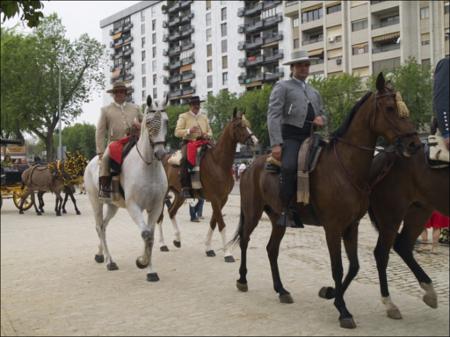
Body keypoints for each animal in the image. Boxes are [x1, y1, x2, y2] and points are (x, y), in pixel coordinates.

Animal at [83, 96, 168, 282]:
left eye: (166, 121)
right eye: (148, 122)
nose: (160, 153)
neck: (148, 167)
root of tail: (92, 161)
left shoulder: (156, 207)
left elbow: (150, 236)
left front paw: (150, 270)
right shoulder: (133, 206)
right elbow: (145, 234)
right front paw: (142, 262)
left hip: (112, 206)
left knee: (103, 227)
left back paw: (101, 255)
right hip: (96, 202)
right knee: (99, 226)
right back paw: (110, 261)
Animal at [158, 109, 258, 262]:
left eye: (248, 124)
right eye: (239, 125)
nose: (254, 141)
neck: (218, 163)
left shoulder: (222, 199)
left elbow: (213, 222)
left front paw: (208, 248)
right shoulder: (215, 199)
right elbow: (221, 224)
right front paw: (227, 253)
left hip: (180, 195)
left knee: (171, 212)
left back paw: (177, 240)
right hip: (163, 195)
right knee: (160, 217)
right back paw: (162, 244)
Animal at [229, 73, 422, 328]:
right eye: (390, 108)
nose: (415, 144)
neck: (345, 167)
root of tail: (251, 166)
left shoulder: (351, 225)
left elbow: (354, 265)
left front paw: (330, 294)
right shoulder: (333, 227)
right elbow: (337, 267)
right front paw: (343, 310)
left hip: (278, 218)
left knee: (272, 249)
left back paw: (281, 290)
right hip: (252, 212)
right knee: (244, 240)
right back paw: (242, 279)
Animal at [368, 144, 448, 318]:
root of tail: (386, 153)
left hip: (420, 210)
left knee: (403, 245)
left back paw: (429, 291)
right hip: (392, 216)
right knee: (382, 253)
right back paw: (390, 304)